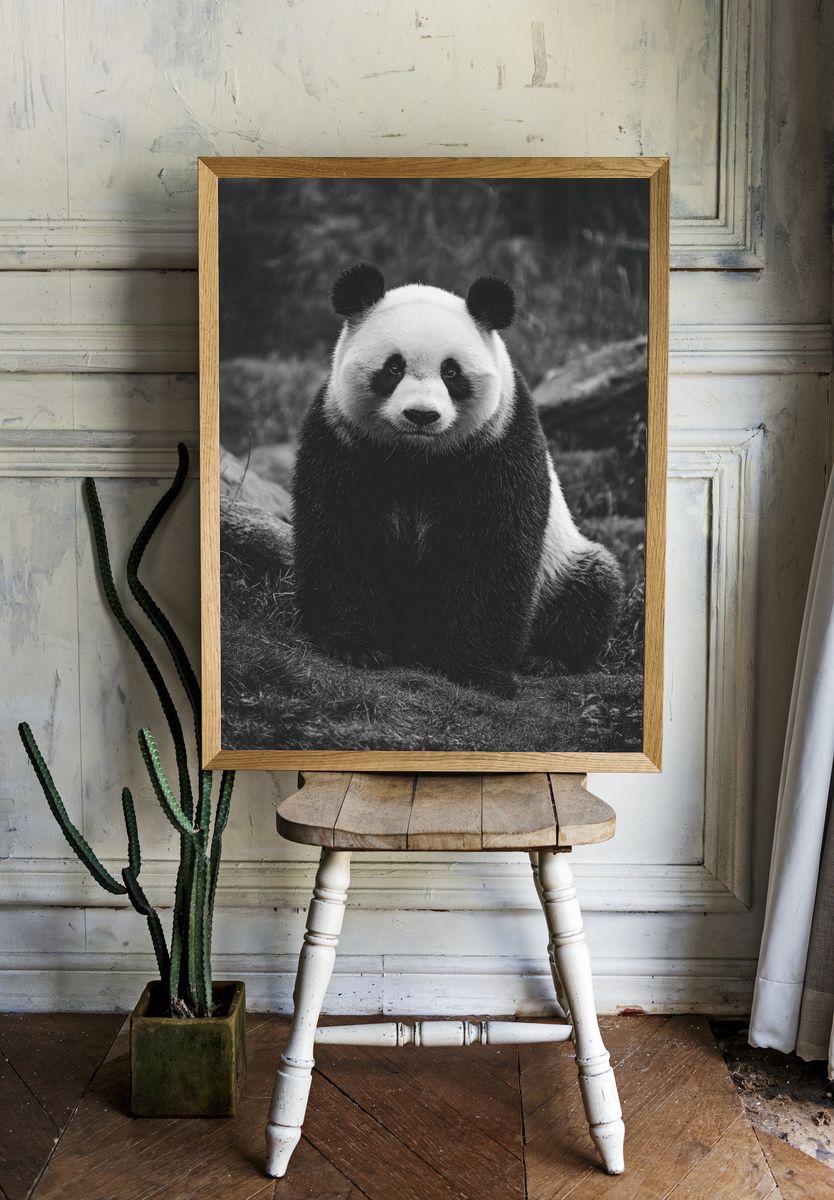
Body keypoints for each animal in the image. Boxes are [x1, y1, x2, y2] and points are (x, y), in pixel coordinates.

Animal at [292, 262, 623, 698]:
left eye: (451, 371)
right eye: (393, 367)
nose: (421, 415)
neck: (417, 457)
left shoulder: (500, 443)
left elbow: (494, 551)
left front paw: (479, 672)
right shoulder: (341, 440)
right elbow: (340, 534)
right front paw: (356, 647)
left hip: (563, 565)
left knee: (592, 590)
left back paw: (548, 658)